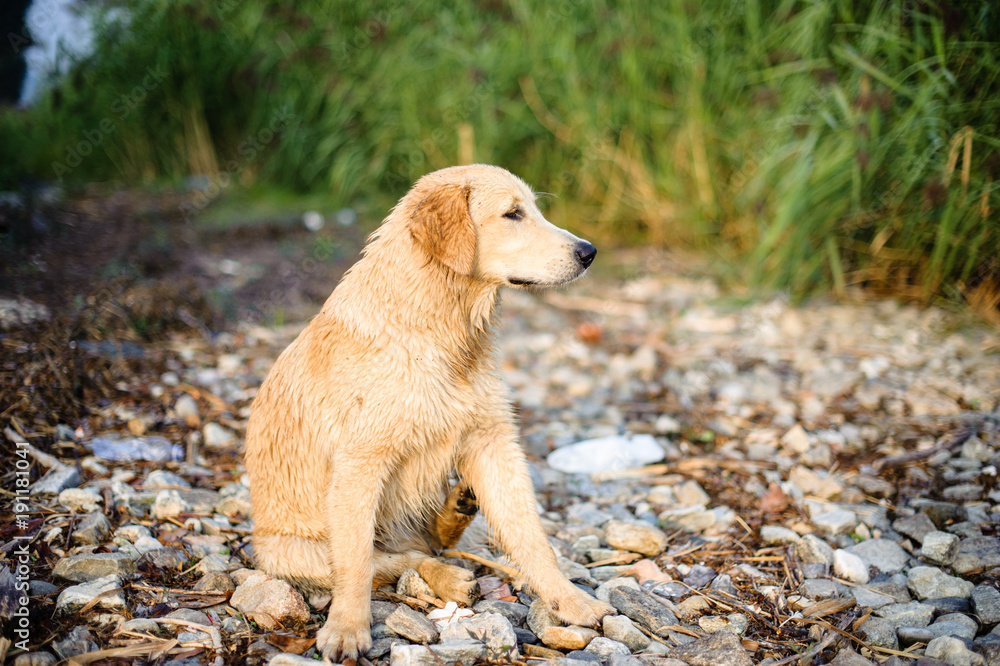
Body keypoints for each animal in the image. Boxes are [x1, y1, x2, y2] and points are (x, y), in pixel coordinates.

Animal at [246, 163, 612, 656]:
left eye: (533, 209)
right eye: (512, 214)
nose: (589, 252)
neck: (443, 328)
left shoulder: (493, 442)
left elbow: (533, 538)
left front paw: (570, 601)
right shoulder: (360, 462)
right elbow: (357, 563)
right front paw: (346, 628)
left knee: (428, 545)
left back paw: (457, 511)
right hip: (290, 550)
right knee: (398, 559)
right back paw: (451, 579)